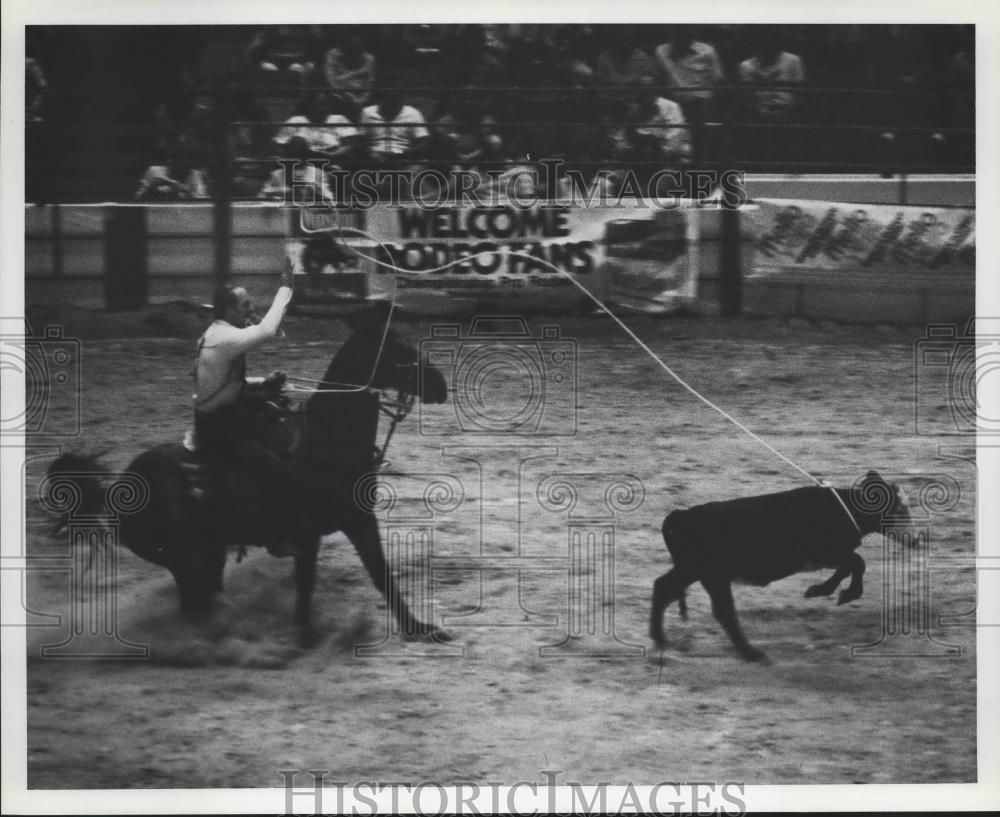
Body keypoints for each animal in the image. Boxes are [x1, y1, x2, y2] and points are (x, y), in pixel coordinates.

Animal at [46, 310, 450, 648]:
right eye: (399, 348)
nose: (441, 385)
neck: (320, 447)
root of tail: (118, 487)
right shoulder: (307, 535)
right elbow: (306, 584)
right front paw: (305, 635)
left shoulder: (359, 521)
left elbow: (382, 576)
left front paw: (421, 628)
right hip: (180, 556)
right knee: (195, 601)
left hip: (207, 550)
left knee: (202, 597)